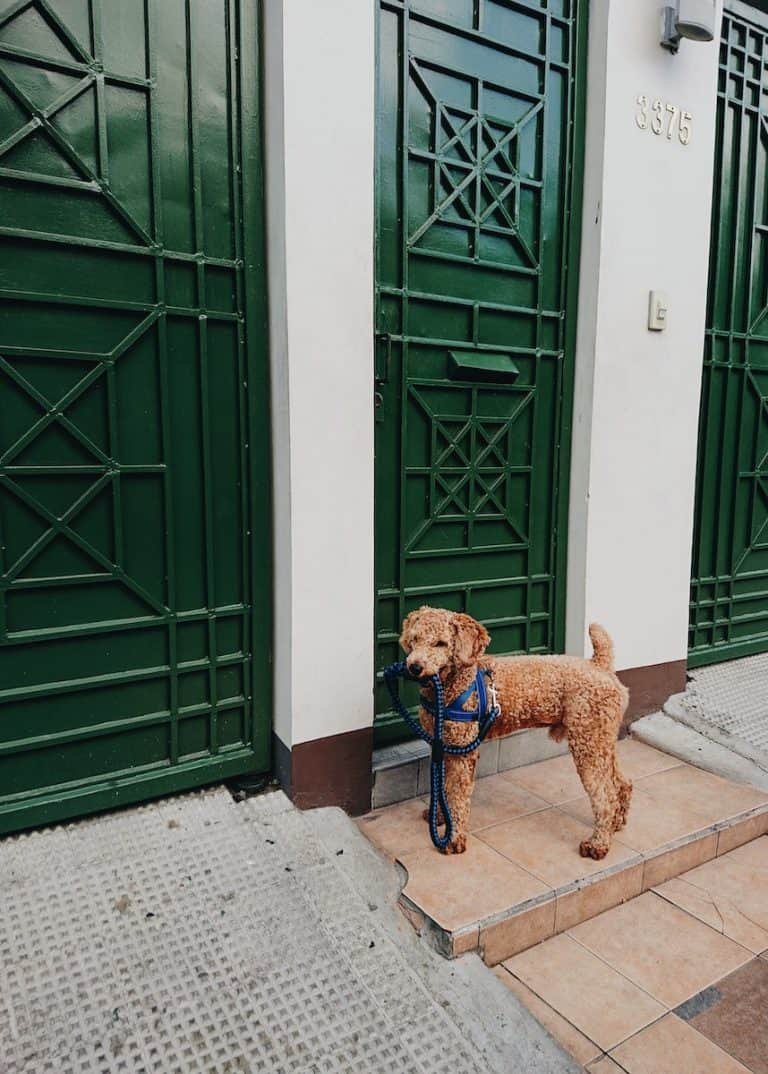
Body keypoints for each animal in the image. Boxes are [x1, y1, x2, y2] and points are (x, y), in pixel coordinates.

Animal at [399, 610, 635, 859]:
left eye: (441, 643)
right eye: (414, 639)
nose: (414, 666)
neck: (455, 683)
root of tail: (600, 665)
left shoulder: (462, 750)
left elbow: (457, 795)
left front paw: (453, 838)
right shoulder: (442, 746)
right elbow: (443, 788)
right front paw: (439, 818)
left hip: (587, 743)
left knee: (605, 797)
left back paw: (598, 843)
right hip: (602, 740)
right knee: (621, 783)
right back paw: (616, 823)